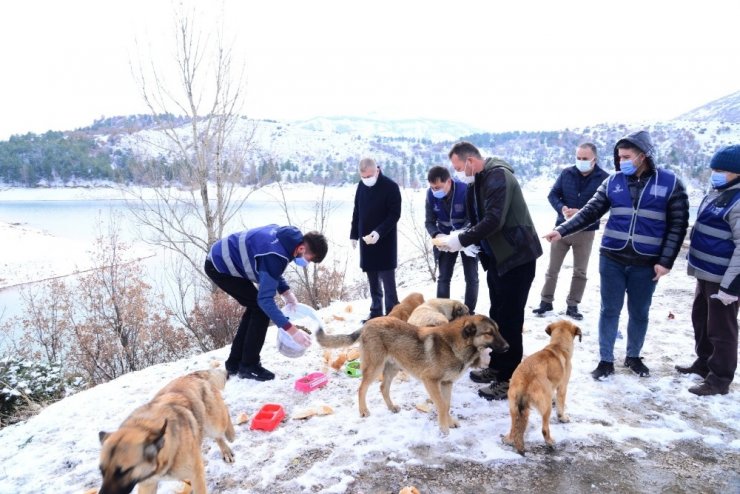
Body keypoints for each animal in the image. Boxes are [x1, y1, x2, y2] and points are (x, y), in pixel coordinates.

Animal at [97, 368, 233, 494]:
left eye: (123, 472)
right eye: (102, 471)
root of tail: (191, 375)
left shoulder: (196, 475)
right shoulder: (147, 484)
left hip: (214, 424)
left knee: (224, 418)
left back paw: (229, 439)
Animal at [316, 314, 512, 434]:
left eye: (498, 330)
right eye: (489, 333)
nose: (508, 347)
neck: (455, 345)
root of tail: (367, 324)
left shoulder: (446, 384)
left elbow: (446, 405)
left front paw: (449, 422)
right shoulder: (430, 381)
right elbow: (441, 405)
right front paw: (444, 428)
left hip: (392, 368)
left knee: (383, 387)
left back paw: (391, 407)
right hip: (375, 368)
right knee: (361, 388)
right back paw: (363, 411)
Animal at [502, 320, 584, 456]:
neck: (558, 346)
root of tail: (525, 381)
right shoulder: (562, 387)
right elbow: (561, 405)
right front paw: (562, 417)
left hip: (513, 406)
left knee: (514, 427)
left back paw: (508, 439)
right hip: (546, 405)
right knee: (544, 429)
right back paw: (550, 442)